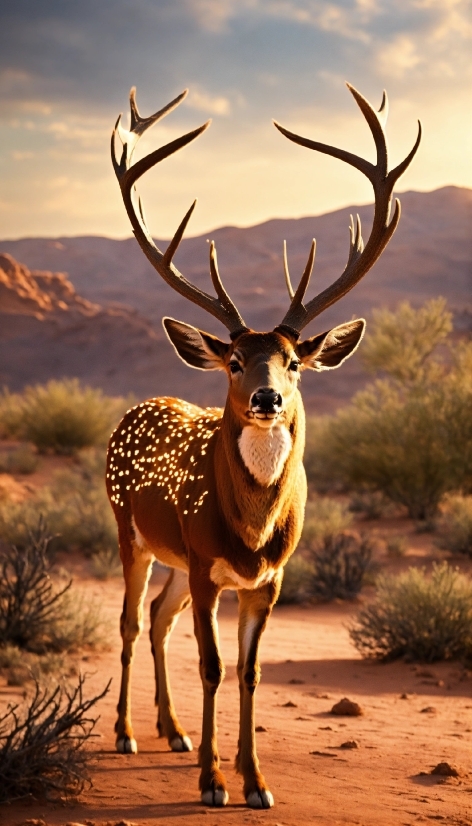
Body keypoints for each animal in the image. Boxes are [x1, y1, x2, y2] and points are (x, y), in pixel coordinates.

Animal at [107, 82, 420, 804]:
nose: (267, 399)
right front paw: (212, 781)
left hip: (173, 557)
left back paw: (173, 732)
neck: (250, 532)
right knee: (133, 620)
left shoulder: (268, 579)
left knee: (158, 618)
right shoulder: (205, 566)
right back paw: (129, 733)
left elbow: (249, 673)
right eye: (232, 362)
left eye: (295, 361)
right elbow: (213, 666)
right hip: (133, 531)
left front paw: (254, 781)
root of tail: (136, 409)